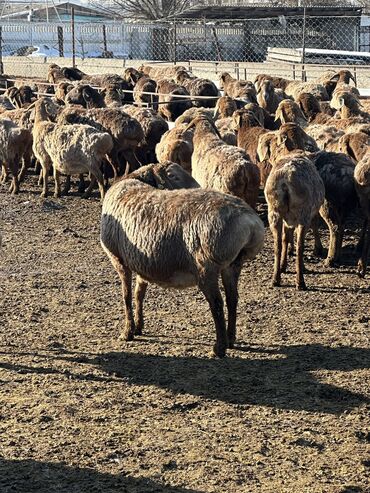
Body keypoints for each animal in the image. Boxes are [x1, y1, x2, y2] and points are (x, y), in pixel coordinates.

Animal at [264, 154, 326, 288]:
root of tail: (285, 183)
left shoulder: (288, 220)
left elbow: (285, 238)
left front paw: (283, 266)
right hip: (303, 213)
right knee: (300, 246)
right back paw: (300, 281)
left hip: (274, 211)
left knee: (277, 245)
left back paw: (275, 279)